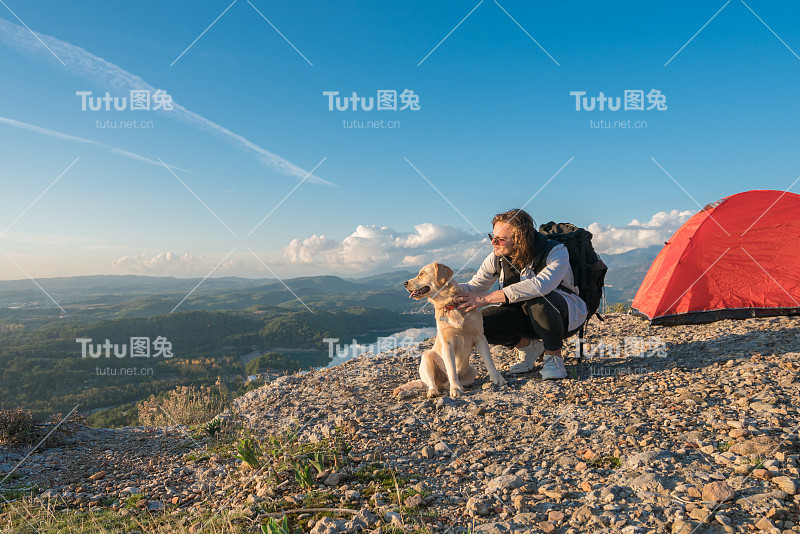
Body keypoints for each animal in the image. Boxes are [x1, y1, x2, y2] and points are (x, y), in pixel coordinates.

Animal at [394, 264, 506, 398]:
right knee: (431, 382)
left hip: (472, 372)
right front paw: (456, 388)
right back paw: (433, 391)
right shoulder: (447, 344)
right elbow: (451, 369)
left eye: (422, 273)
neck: (450, 304)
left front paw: (497, 378)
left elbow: (489, 361)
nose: (405, 283)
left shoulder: (480, 337)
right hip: (426, 357)